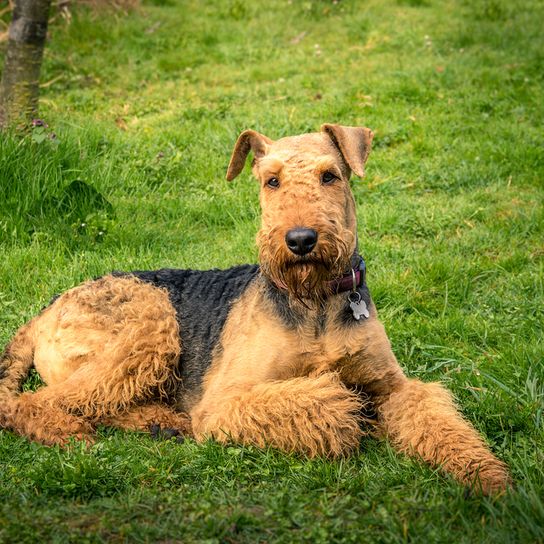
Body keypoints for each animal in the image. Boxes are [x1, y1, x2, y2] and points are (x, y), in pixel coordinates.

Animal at [0, 122, 510, 492]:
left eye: (330, 175)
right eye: (272, 181)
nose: (300, 240)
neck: (315, 302)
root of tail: (43, 313)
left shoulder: (395, 388)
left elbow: (436, 416)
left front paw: (489, 477)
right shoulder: (225, 401)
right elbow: (321, 398)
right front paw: (344, 406)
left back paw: (163, 422)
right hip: (149, 324)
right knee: (35, 400)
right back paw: (72, 432)